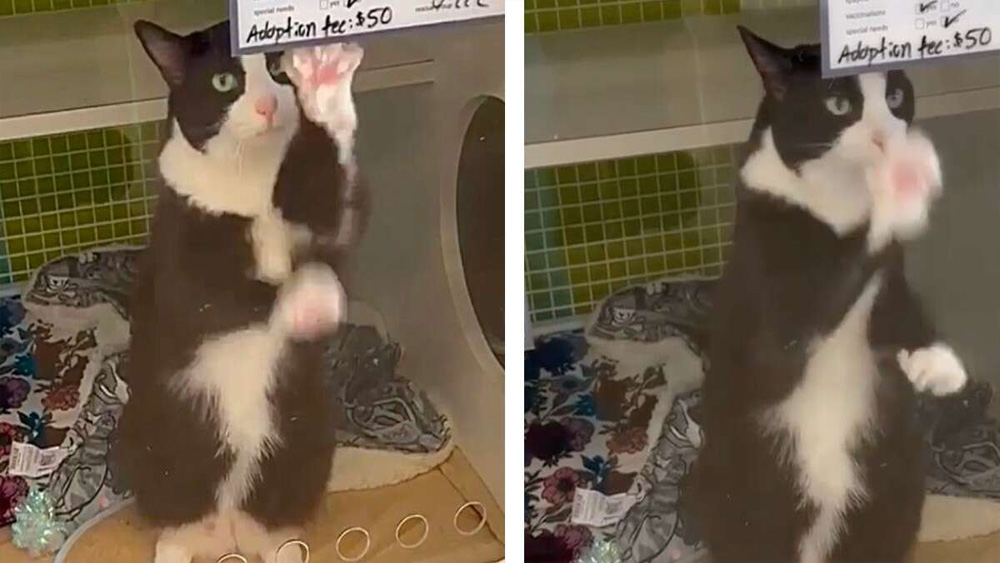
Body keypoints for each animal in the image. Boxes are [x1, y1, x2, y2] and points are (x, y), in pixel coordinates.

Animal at [113, 19, 370, 560]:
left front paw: (325, 88)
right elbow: (215, 297)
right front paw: (308, 302)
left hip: (307, 443)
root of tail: (229, 527)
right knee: (174, 524)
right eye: (223, 81)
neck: (253, 181)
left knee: (278, 527)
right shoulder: (179, 249)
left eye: (277, 66)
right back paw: (174, 542)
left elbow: (335, 217)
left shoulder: (322, 215)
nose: (268, 104)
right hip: (144, 443)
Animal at [680, 27, 968, 563]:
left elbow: (895, 300)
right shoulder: (765, 291)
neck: (838, 201)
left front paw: (935, 361)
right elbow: (805, 314)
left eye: (895, 97)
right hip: (736, 492)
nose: (885, 139)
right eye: (838, 104)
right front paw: (903, 185)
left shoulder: (890, 275)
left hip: (894, 488)